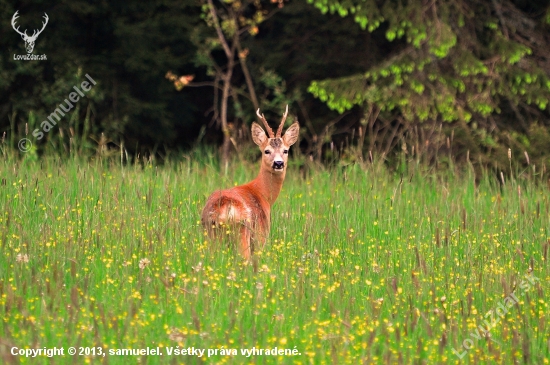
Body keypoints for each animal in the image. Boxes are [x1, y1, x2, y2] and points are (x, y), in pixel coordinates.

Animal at [202, 105, 300, 258]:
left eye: (286, 150)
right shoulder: (261, 234)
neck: (262, 194)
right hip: (243, 231)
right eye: (266, 151)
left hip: (209, 234)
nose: (278, 163)